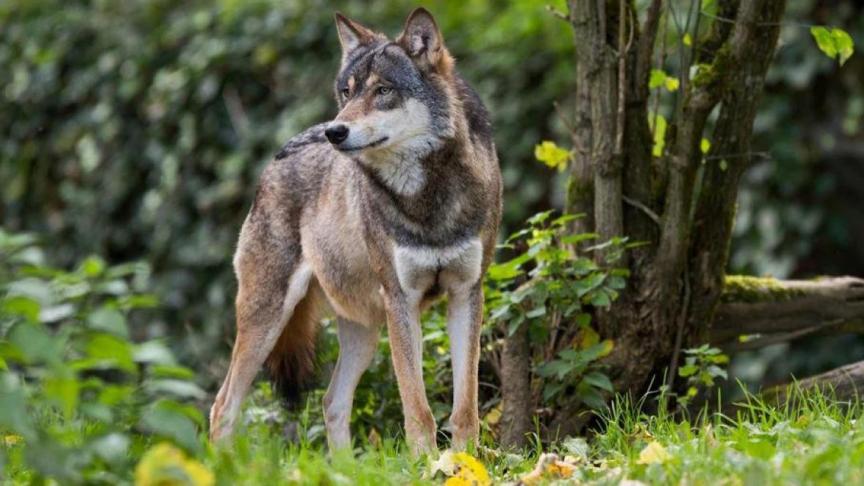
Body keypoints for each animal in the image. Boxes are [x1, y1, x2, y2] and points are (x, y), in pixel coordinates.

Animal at [208, 8, 502, 454]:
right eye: (346, 93)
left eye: (383, 90)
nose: (336, 131)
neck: (428, 198)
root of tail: (278, 156)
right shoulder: (401, 301)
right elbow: (418, 409)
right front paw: (428, 463)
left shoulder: (466, 294)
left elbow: (464, 407)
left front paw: (466, 462)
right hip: (268, 316)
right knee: (222, 406)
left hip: (363, 328)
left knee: (332, 402)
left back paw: (343, 465)